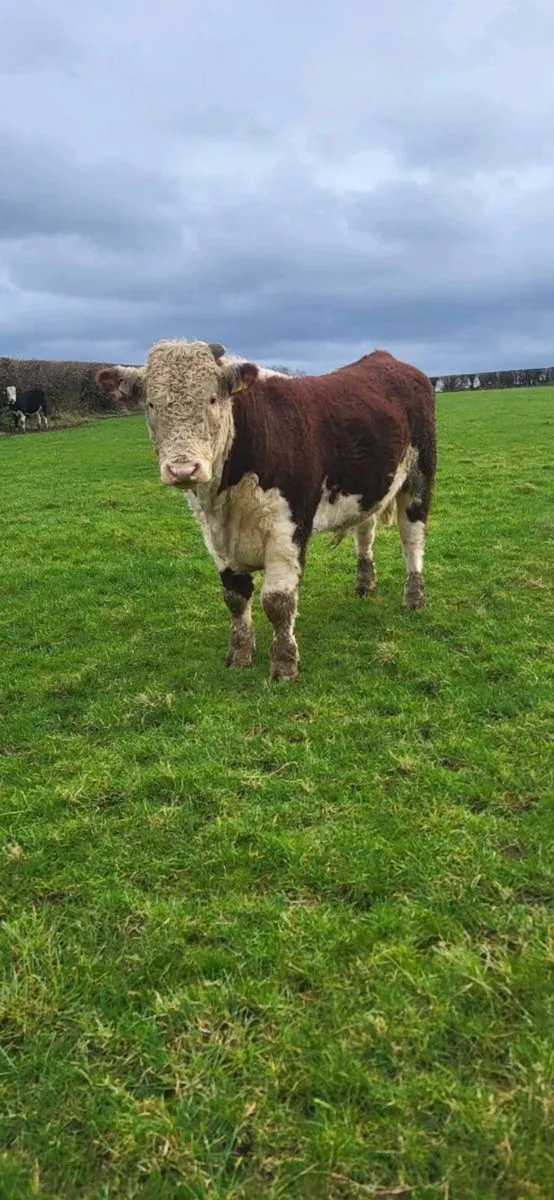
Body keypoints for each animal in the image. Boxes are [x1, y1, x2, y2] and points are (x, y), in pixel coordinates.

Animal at [96, 341, 436, 682]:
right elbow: (234, 598)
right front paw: (239, 654)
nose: (183, 469)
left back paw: (414, 597)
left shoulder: (288, 530)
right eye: (151, 404)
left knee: (412, 539)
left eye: (212, 399)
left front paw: (284, 664)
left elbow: (277, 602)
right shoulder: (216, 537)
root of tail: (387, 358)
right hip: (368, 488)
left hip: (419, 477)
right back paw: (365, 584)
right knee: (365, 532)